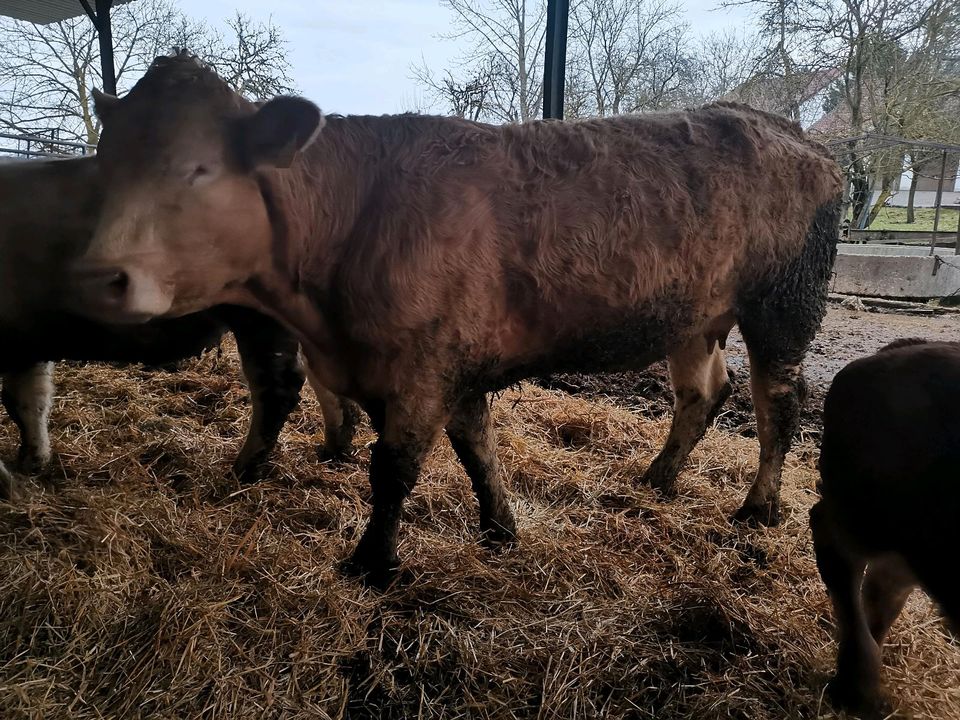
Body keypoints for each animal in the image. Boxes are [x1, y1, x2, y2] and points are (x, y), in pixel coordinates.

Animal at [71, 54, 844, 584]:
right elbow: (478, 449)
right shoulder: (451, 363)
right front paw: (499, 528)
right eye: (103, 160)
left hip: (782, 307)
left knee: (779, 402)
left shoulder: (423, 363)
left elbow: (394, 467)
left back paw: (758, 507)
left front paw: (372, 566)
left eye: (198, 168)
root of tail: (792, 133)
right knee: (702, 392)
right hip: (695, 317)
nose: (96, 277)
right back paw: (659, 477)